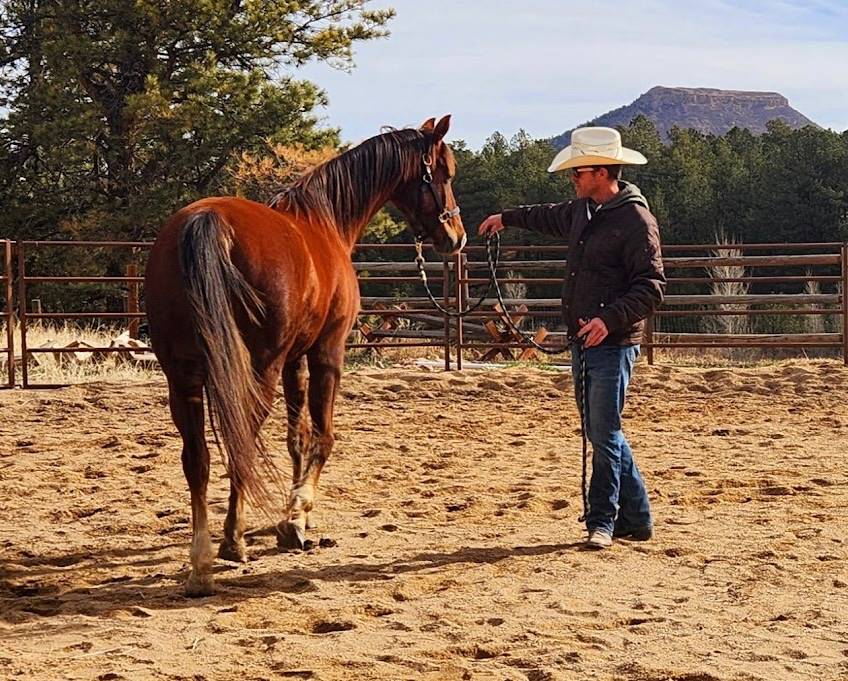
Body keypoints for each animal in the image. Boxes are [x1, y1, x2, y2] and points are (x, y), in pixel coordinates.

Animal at [144, 114, 464, 592]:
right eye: (444, 172)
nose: (456, 237)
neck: (325, 222)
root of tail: (206, 220)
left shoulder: (294, 359)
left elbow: (296, 437)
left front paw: (294, 514)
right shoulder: (327, 352)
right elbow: (324, 435)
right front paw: (296, 517)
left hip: (182, 378)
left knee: (197, 458)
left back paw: (200, 561)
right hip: (257, 370)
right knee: (241, 442)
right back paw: (232, 540)